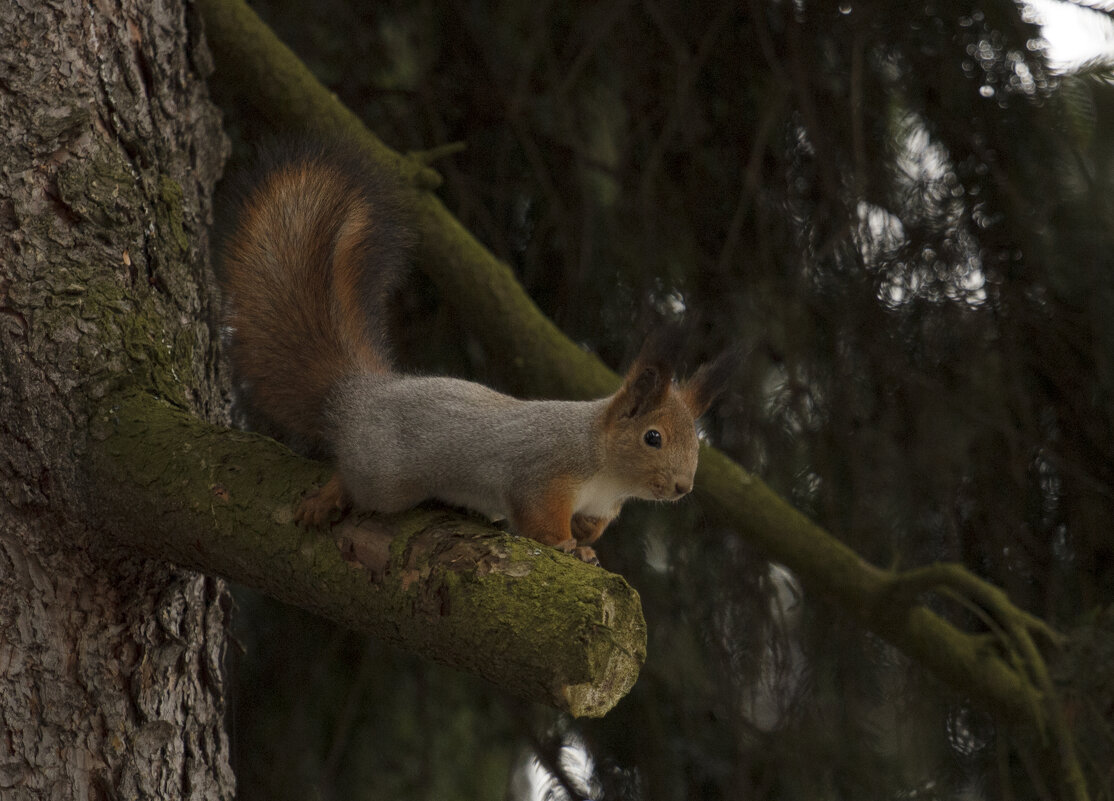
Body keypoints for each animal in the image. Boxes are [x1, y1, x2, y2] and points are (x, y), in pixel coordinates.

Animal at [220, 143, 726, 568]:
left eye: (696, 442)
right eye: (653, 438)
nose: (683, 487)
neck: (607, 470)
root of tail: (358, 394)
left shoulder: (601, 505)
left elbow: (590, 523)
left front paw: (583, 540)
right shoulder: (543, 472)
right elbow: (537, 515)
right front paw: (566, 544)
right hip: (382, 474)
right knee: (353, 478)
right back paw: (327, 497)